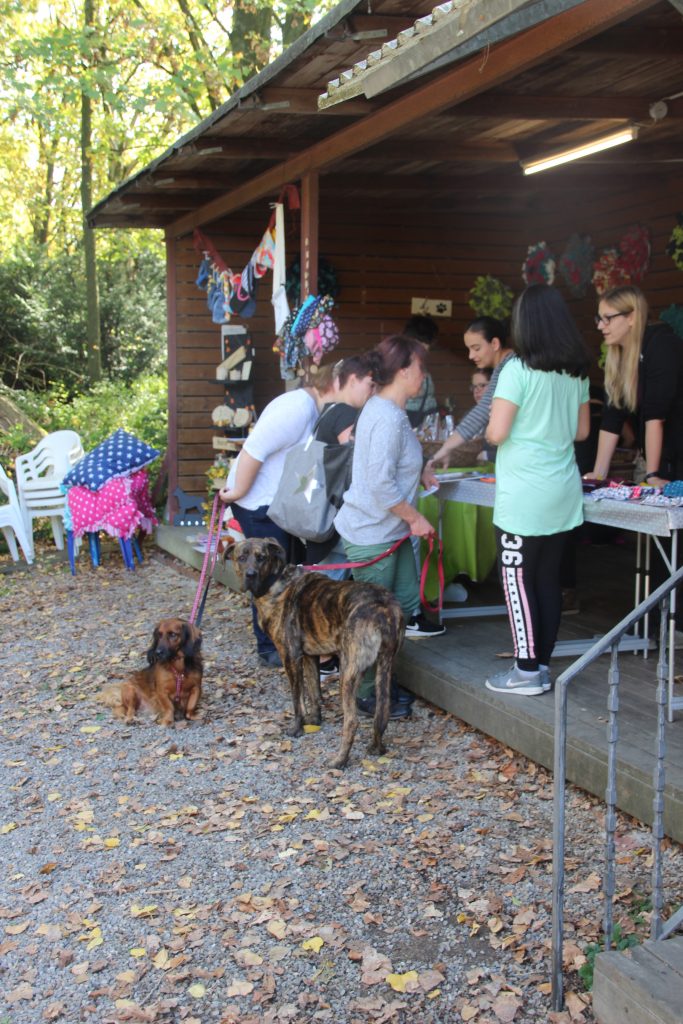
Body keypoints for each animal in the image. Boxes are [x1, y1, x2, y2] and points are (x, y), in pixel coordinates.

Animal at [230, 537, 405, 768]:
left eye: (261, 557)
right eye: (241, 557)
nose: (250, 575)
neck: (276, 582)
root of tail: (383, 607)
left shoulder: (290, 657)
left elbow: (297, 699)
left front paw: (297, 728)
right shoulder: (309, 657)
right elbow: (314, 691)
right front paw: (315, 720)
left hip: (348, 672)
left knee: (352, 721)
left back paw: (339, 760)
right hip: (385, 665)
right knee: (381, 712)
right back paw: (377, 748)